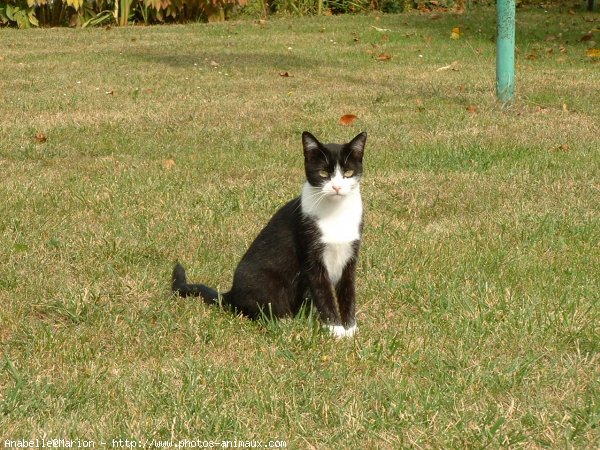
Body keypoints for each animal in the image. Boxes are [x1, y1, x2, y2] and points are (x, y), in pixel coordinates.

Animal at [172, 131, 366, 338]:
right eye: (323, 173)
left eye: (348, 173)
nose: (337, 187)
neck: (335, 212)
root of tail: (230, 293)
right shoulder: (312, 256)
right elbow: (324, 293)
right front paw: (335, 330)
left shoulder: (350, 255)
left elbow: (348, 292)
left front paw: (351, 330)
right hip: (265, 281)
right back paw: (283, 322)